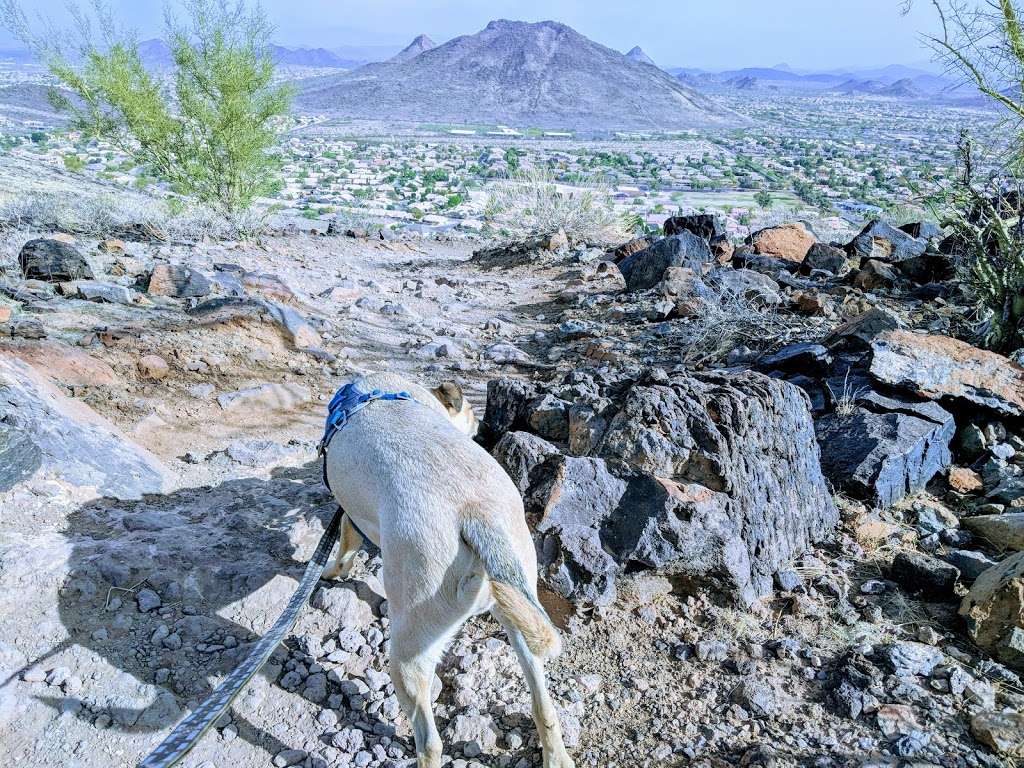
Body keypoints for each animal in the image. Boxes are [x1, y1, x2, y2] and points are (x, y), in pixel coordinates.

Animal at [321, 374, 577, 768]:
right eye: (472, 412)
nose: (484, 428)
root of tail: (479, 515)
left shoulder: (348, 513)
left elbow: (345, 545)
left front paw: (331, 571)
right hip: (519, 608)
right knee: (543, 704)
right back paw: (556, 755)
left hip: (409, 650)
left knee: (429, 740)